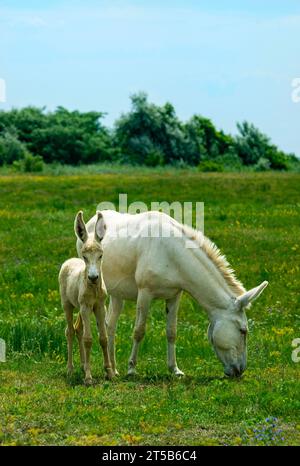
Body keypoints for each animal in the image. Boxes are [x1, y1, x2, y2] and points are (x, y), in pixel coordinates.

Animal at [59, 212, 113, 386]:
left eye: (101, 255)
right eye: (84, 256)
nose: (93, 277)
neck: (94, 290)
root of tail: (69, 261)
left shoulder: (99, 306)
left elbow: (103, 338)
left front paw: (110, 373)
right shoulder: (85, 306)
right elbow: (88, 339)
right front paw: (89, 378)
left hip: (83, 308)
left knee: (78, 328)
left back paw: (83, 366)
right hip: (68, 304)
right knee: (70, 331)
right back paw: (70, 369)